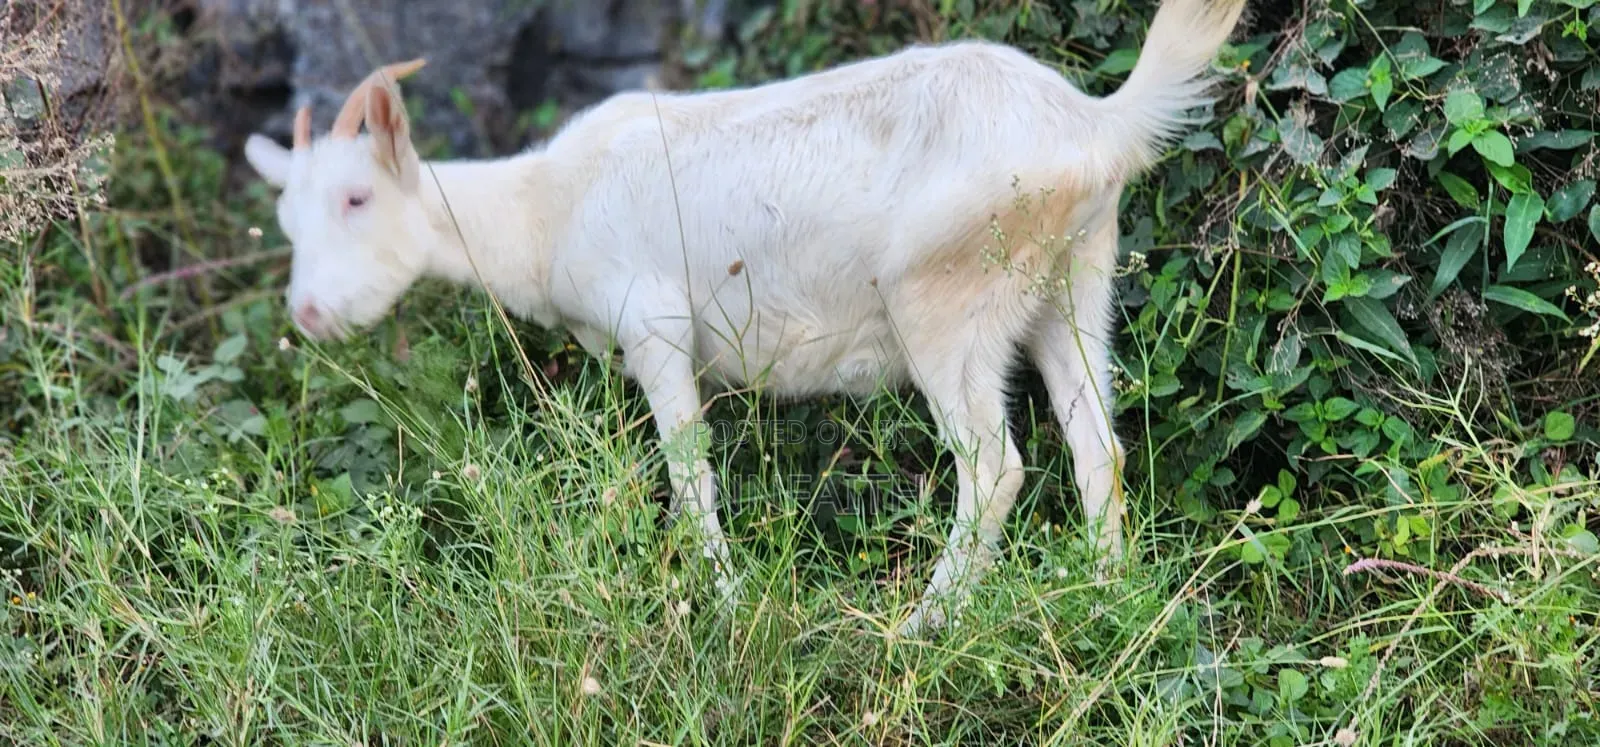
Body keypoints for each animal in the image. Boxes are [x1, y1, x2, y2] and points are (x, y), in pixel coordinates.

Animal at [242, 0, 1248, 635]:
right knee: (1096, 444)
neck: (547, 205)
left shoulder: (654, 325)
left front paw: (722, 606)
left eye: (358, 198)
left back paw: (924, 624)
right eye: (288, 219)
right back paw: (1105, 598)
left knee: (995, 466)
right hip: (1074, 277)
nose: (310, 311)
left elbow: (691, 480)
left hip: (946, 295)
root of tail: (1093, 124)